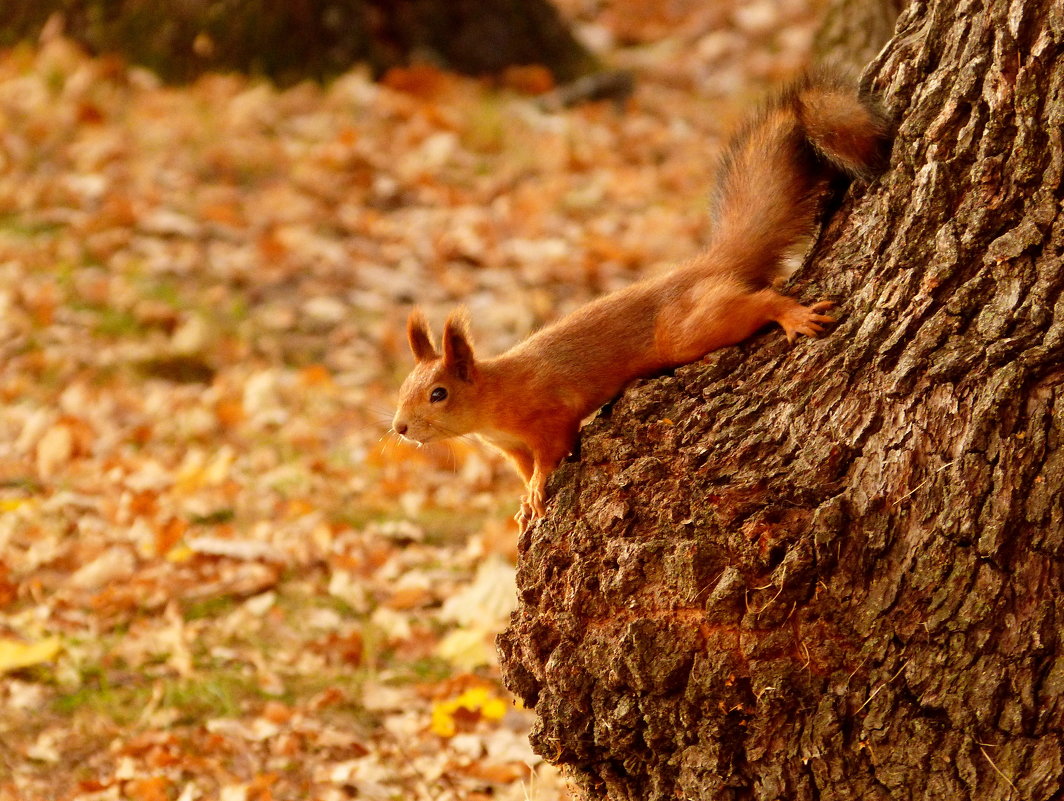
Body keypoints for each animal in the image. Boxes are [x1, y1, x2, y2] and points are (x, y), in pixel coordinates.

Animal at [391, 71, 889, 527]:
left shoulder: (548, 414)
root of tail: (708, 264)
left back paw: (790, 314)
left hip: (689, 328)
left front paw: (536, 489)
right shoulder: (510, 446)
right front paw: (524, 498)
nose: (399, 427)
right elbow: (522, 466)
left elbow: (551, 454)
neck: (494, 396)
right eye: (403, 389)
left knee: (757, 302)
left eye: (439, 394)